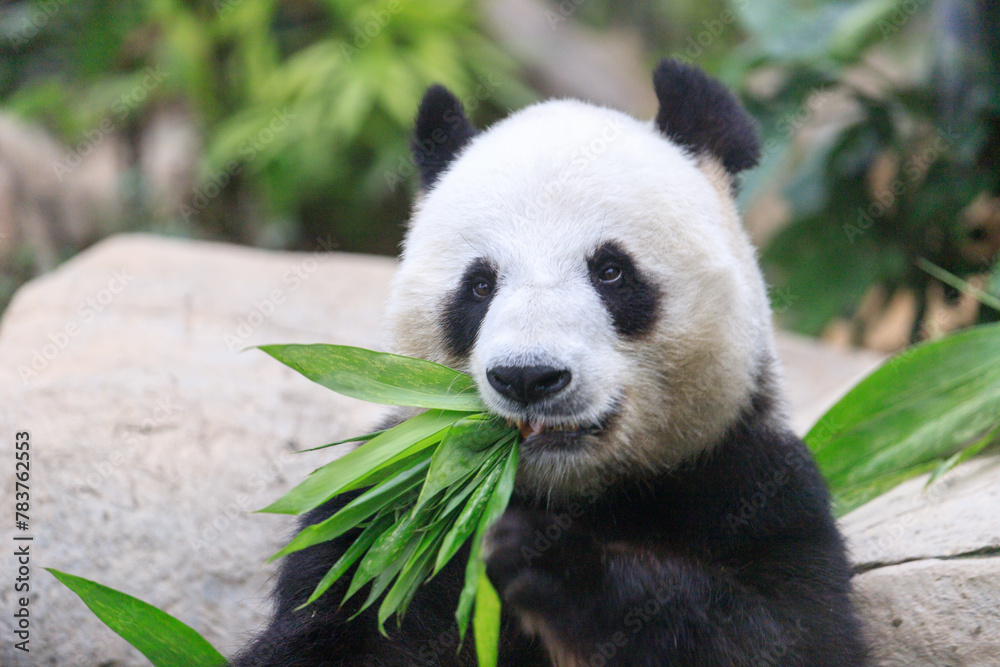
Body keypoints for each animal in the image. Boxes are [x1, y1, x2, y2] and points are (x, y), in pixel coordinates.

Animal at [233, 60, 868, 666]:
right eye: (480, 285)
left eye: (611, 271)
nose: (528, 377)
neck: (568, 491)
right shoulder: (381, 516)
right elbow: (326, 627)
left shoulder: (750, 484)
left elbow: (783, 637)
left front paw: (552, 563)